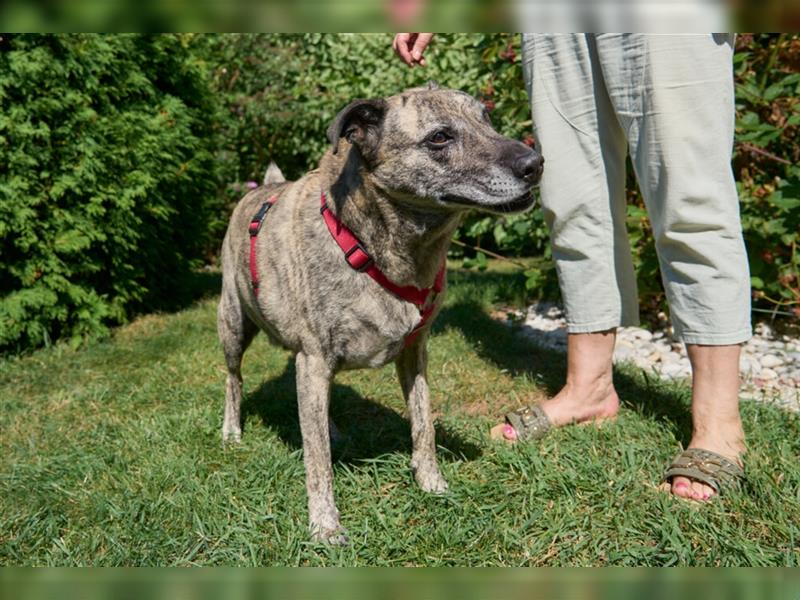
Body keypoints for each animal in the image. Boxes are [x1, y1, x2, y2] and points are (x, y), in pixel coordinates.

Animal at [217, 82, 544, 540]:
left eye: (487, 119)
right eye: (439, 137)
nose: (536, 163)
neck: (373, 248)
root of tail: (258, 190)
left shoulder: (414, 352)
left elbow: (423, 425)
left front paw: (432, 484)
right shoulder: (314, 358)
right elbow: (317, 461)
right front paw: (325, 525)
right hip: (233, 324)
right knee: (234, 379)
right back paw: (232, 429)